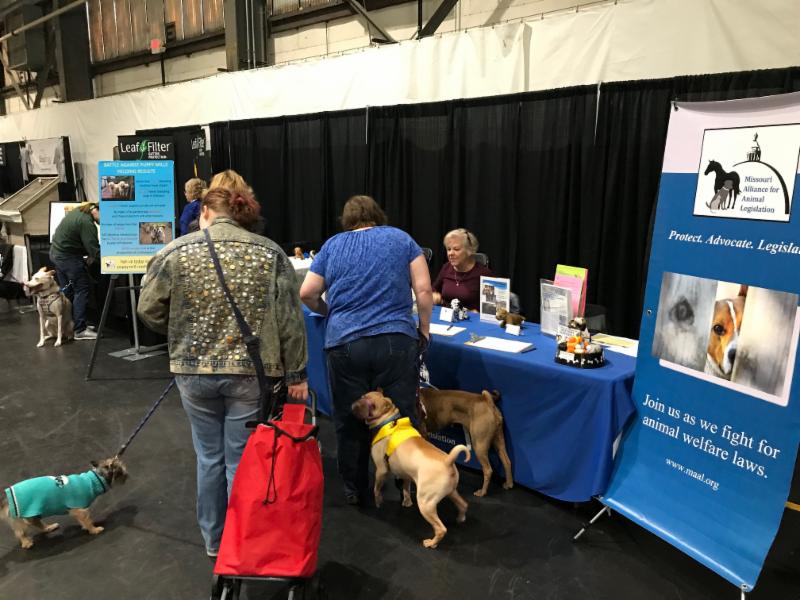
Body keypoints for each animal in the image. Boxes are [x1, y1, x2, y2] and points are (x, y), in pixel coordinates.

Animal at [352, 390, 470, 549]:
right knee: (463, 504)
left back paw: (431, 543)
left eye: (372, 405)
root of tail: (447, 461)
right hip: (451, 492)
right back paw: (460, 519)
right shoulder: (406, 474)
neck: (388, 421)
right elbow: (406, 487)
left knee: (441, 529)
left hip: (426, 503)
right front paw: (407, 501)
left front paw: (378, 502)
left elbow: (377, 489)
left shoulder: (381, 470)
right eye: (363, 397)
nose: (353, 406)